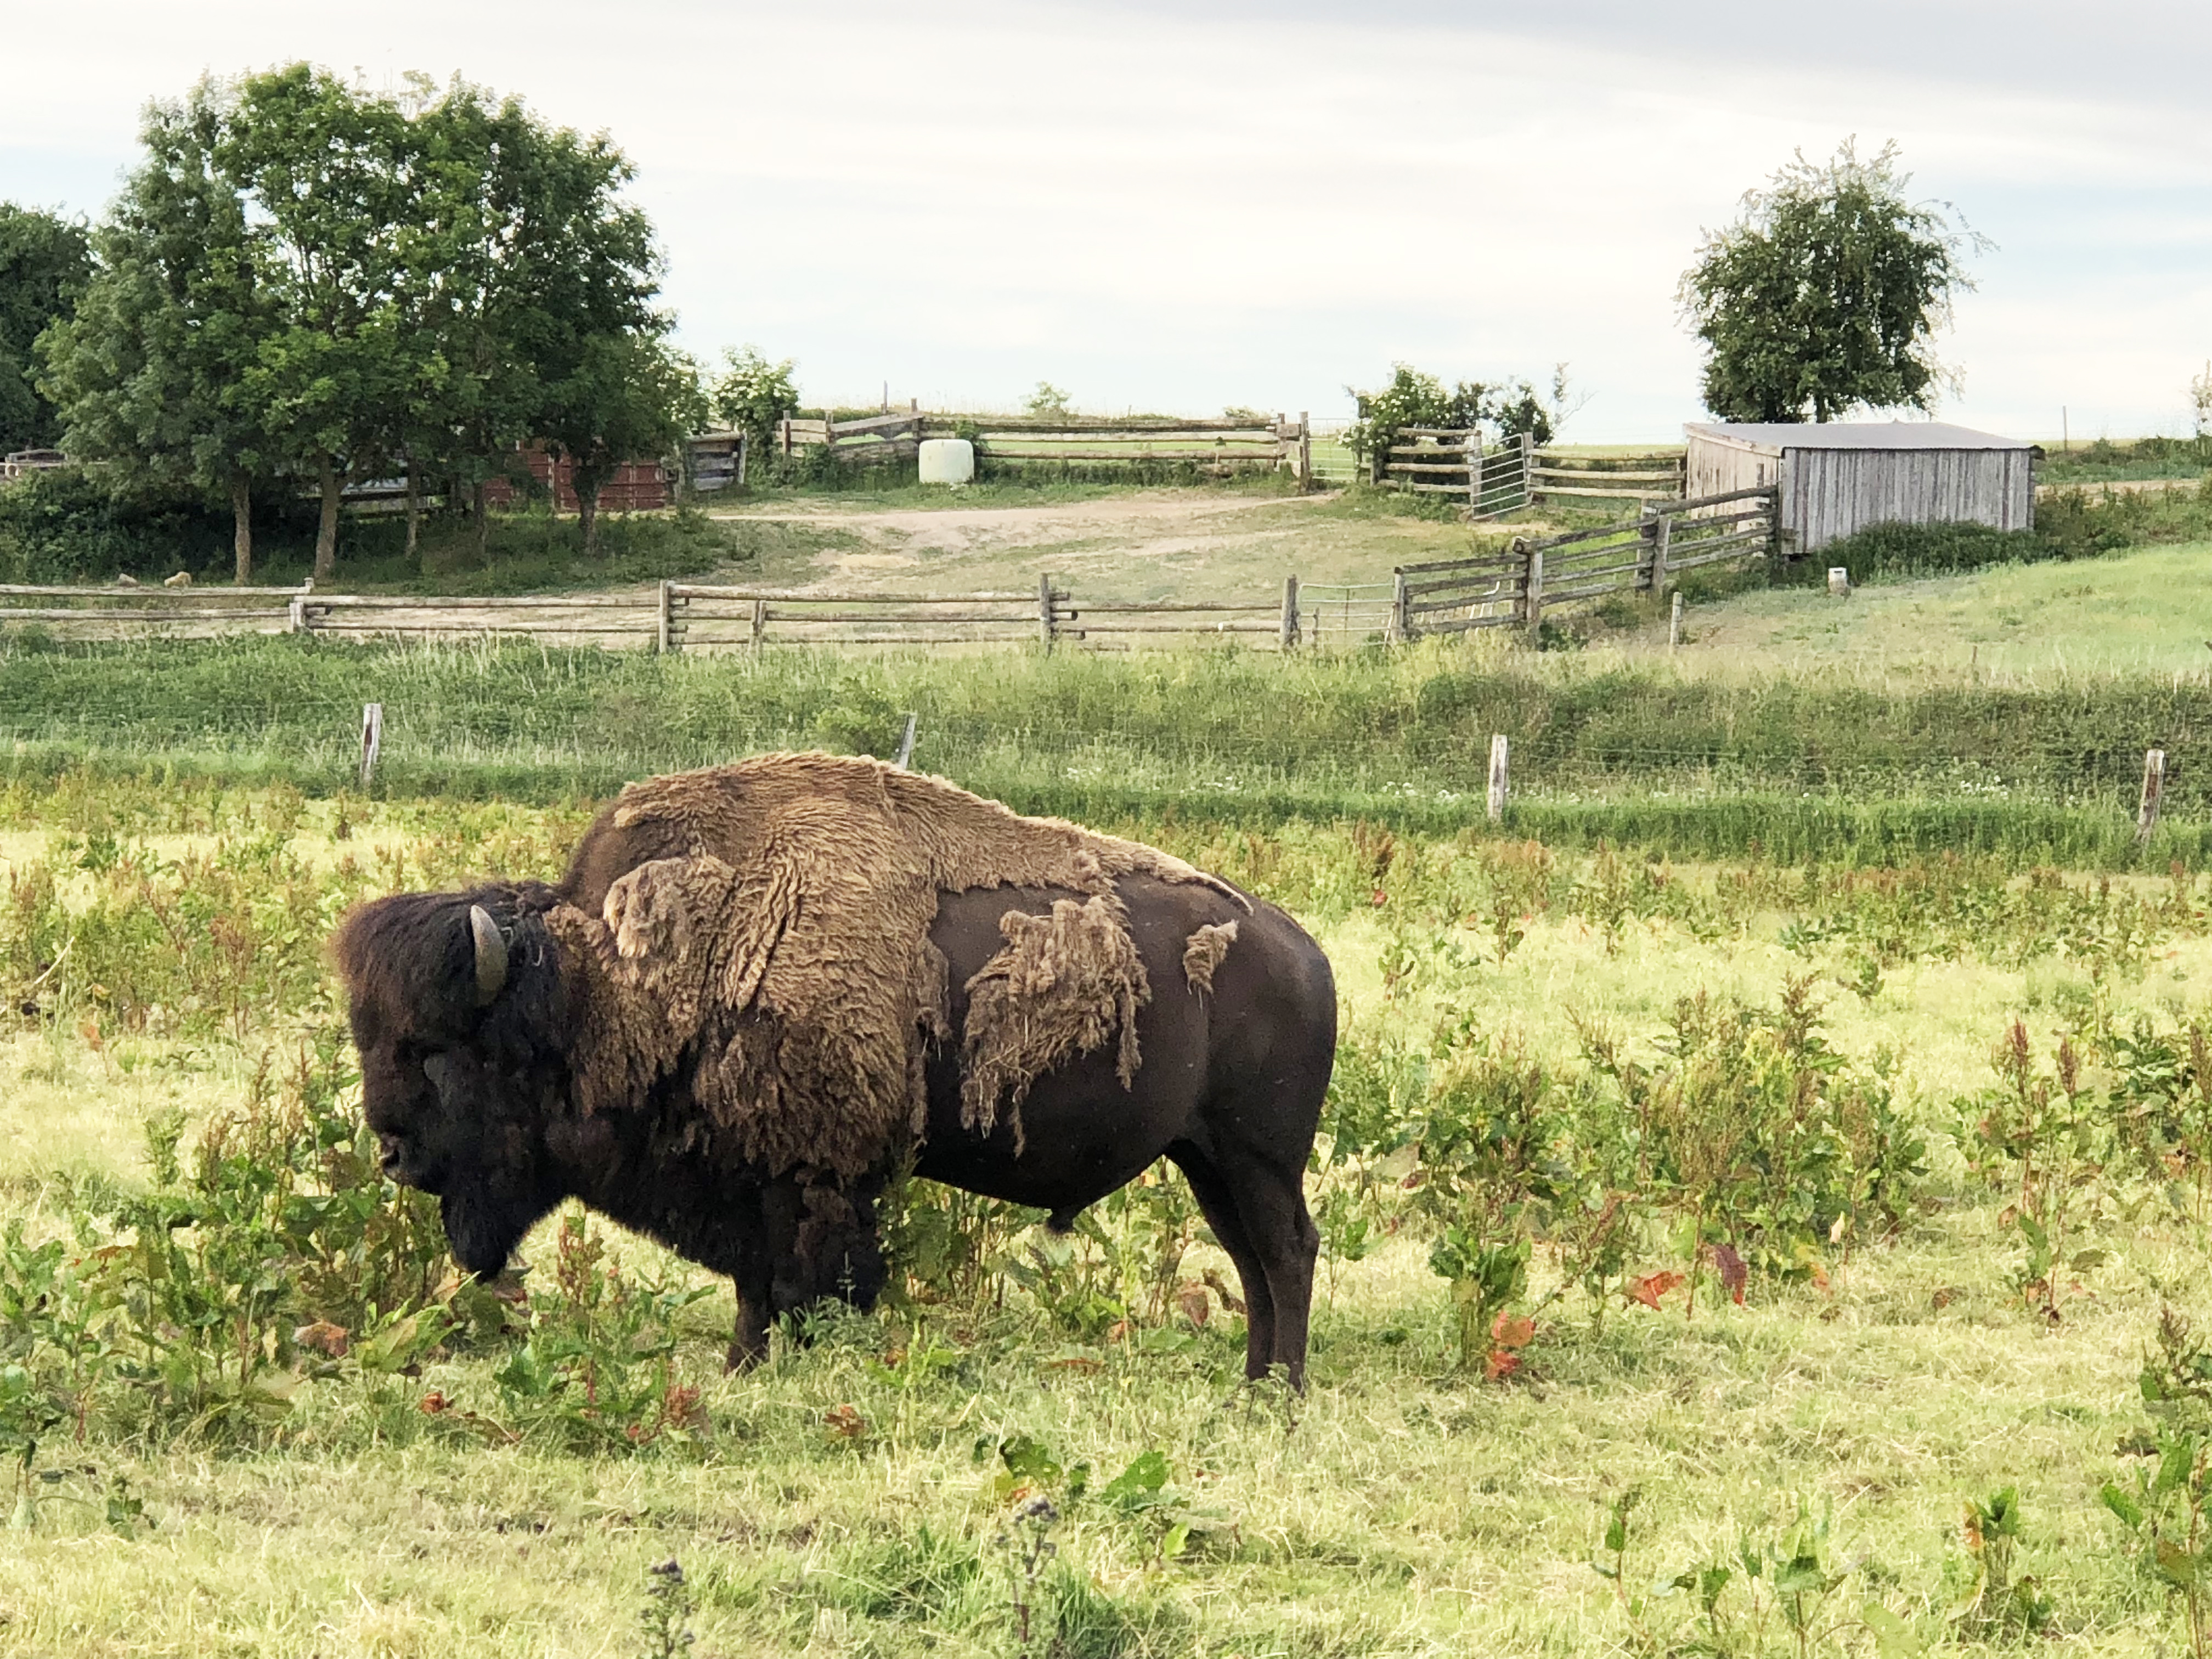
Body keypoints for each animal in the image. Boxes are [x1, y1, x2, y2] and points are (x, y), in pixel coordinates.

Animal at [327, 774, 1327, 1380]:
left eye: (439, 1049)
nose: (393, 1152)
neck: (608, 983)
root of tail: (1303, 951)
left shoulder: (813, 1180)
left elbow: (805, 1281)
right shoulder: (751, 1180)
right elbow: (755, 1286)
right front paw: (742, 1363)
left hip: (1257, 1158)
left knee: (1285, 1250)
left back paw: (1281, 1390)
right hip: (1204, 1158)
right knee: (1249, 1257)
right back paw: (1253, 1380)